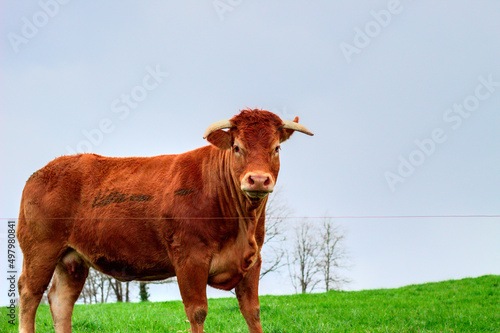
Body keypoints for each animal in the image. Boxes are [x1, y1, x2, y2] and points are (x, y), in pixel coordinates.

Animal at [18, 107, 312, 330]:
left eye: (276, 148)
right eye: (237, 147)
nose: (259, 179)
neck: (242, 225)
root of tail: (47, 169)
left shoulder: (253, 260)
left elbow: (253, 312)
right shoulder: (189, 258)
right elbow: (197, 311)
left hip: (72, 259)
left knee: (60, 300)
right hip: (40, 250)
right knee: (29, 294)